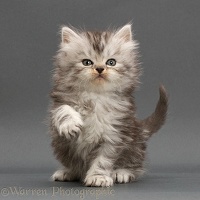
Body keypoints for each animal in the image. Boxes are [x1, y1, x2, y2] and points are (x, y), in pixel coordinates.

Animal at [49, 24, 167, 187]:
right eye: (87, 62)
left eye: (111, 62)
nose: (99, 68)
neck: (95, 97)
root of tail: (140, 130)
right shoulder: (59, 102)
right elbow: (63, 109)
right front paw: (70, 125)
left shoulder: (114, 133)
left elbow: (103, 159)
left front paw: (98, 177)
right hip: (61, 148)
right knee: (75, 166)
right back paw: (68, 172)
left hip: (134, 145)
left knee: (135, 165)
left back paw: (121, 172)